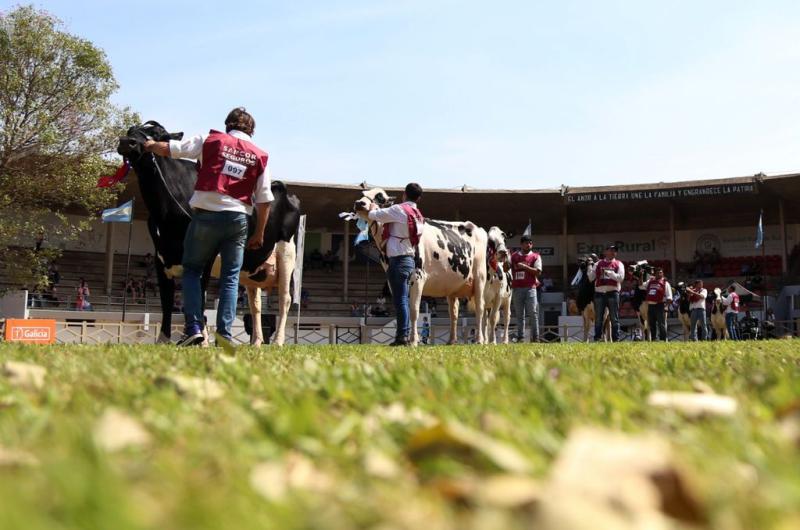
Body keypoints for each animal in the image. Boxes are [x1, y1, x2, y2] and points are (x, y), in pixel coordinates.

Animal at [354, 188, 488, 344]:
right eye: (363, 194)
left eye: (379, 197)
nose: (359, 203)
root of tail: (476, 227)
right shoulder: (393, 281)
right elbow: (402, 309)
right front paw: (403, 339)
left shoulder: (417, 277)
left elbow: (413, 310)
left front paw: (412, 341)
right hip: (452, 286)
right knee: (453, 312)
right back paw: (451, 341)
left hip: (480, 278)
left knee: (480, 309)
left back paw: (480, 340)